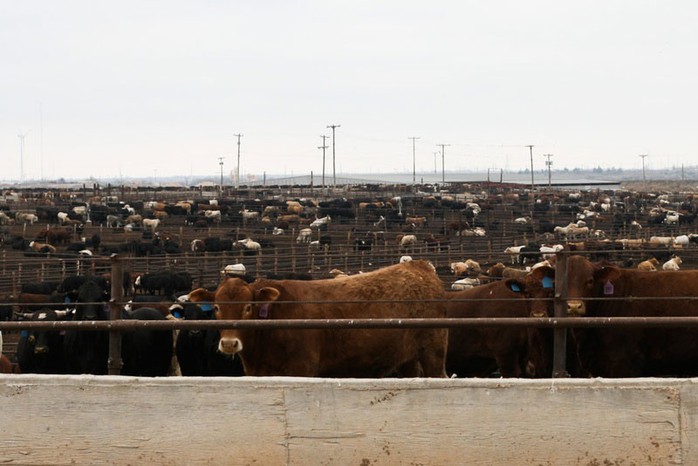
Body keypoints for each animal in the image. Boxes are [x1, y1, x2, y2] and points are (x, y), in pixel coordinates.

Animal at [186, 260, 446, 376]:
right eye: (216, 307)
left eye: (249, 307)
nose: (229, 343)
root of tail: (419, 267)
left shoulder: (302, 368)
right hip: (407, 359)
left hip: (433, 352)